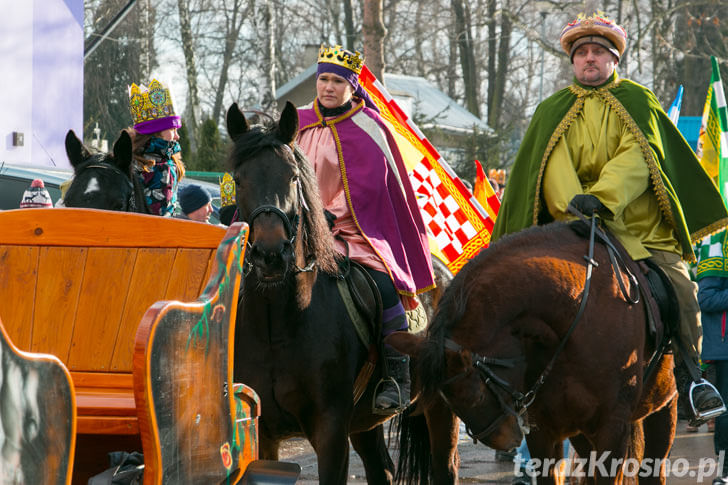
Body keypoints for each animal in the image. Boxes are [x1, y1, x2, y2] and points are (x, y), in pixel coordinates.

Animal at [225, 100, 458, 482]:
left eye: (292, 176)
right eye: (239, 179)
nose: (270, 255)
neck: (279, 325)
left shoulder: (331, 430)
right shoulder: (263, 431)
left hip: (440, 404)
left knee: (445, 468)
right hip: (365, 423)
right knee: (382, 471)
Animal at [386, 221, 676, 482]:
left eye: (475, 395)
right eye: (448, 401)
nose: (506, 440)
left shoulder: (612, 430)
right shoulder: (544, 431)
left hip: (663, 408)